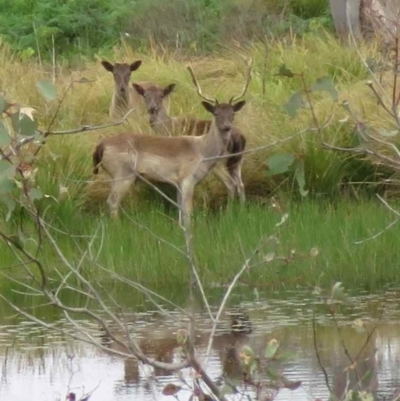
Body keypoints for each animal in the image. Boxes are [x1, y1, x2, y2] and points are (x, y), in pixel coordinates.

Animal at [92, 61, 252, 227]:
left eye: (232, 114)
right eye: (216, 113)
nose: (227, 127)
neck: (202, 150)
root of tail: (100, 146)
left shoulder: (178, 183)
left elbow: (181, 211)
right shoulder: (187, 178)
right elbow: (187, 212)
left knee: (238, 184)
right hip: (123, 173)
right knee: (112, 201)